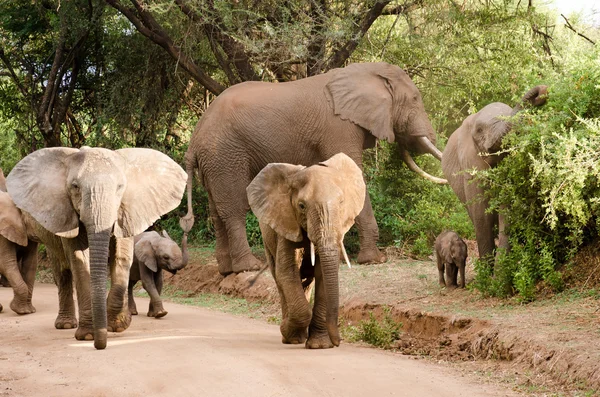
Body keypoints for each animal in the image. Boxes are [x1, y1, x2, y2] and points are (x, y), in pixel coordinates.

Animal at [6, 145, 185, 346]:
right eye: (75, 187)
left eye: (120, 187)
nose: (100, 346)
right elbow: (80, 261)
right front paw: (88, 336)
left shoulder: (127, 214)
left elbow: (122, 257)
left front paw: (118, 325)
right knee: (62, 272)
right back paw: (65, 324)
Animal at [183, 62, 446, 278]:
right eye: (415, 98)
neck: (365, 71)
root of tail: (193, 141)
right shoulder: (340, 127)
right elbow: (351, 175)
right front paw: (375, 260)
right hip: (224, 154)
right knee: (234, 208)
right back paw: (249, 267)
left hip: (214, 161)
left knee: (216, 211)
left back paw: (227, 270)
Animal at [247, 152, 366, 346]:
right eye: (302, 206)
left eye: (341, 203)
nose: (338, 342)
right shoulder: (285, 224)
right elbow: (287, 272)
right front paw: (287, 331)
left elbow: (323, 273)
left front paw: (320, 346)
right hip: (267, 241)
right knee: (279, 279)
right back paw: (292, 338)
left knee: (307, 282)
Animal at [440, 85, 548, 268]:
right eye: (479, 130)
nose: (542, 91)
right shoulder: (470, 164)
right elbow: (482, 215)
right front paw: (487, 273)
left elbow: (506, 210)